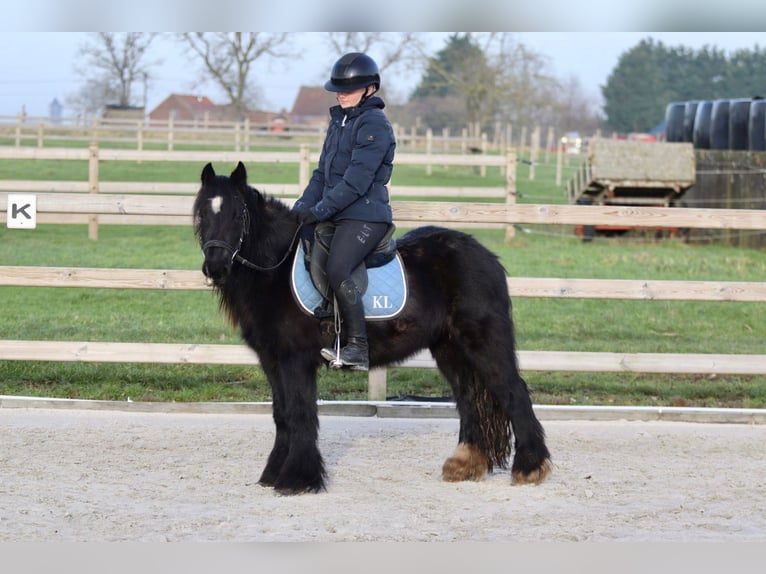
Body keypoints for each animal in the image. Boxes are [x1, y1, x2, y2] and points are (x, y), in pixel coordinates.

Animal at [192, 162, 552, 496]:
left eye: (238, 214)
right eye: (202, 213)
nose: (216, 266)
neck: (274, 269)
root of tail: (488, 258)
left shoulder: (295, 360)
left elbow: (299, 413)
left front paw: (298, 479)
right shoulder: (272, 360)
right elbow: (281, 414)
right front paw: (273, 473)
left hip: (483, 342)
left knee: (513, 391)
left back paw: (530, 467)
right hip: (449, 347)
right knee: (469, 397)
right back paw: (464, 464)